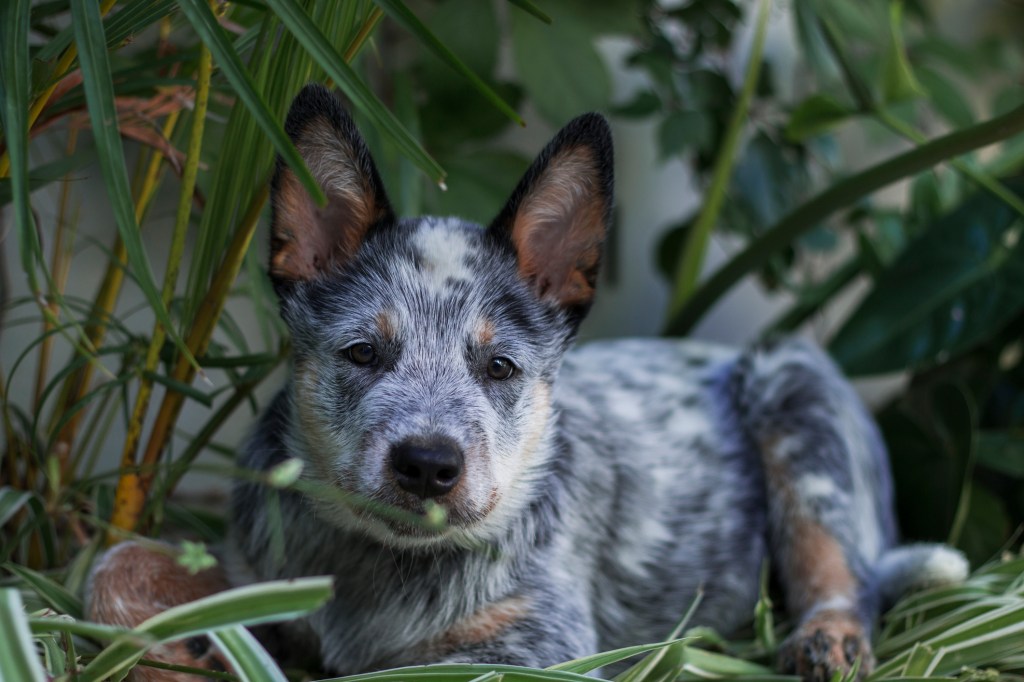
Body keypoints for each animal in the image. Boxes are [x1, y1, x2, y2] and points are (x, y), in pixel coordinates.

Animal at [88, 82, 966, 675]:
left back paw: (827, 640)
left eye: (500, 366)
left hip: (799, 394)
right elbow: (119, 563)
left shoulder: (539, 647)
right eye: (363, 354)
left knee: (844, 570)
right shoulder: (249, 571)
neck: (379, 571)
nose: (429, 465)